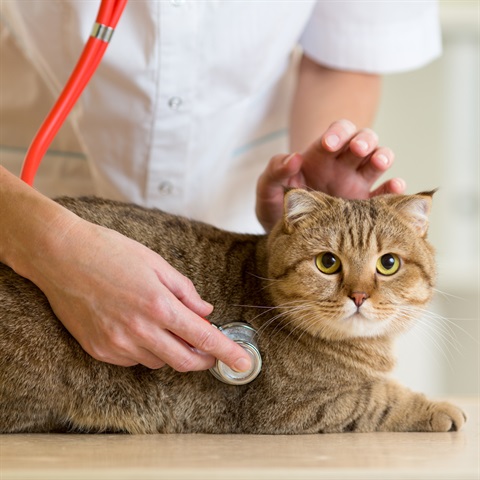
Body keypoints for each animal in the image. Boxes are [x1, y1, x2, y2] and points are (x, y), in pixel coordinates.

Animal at [0, 188, 464, 436]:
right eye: (328, 262)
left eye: (389, 264)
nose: (360, 295)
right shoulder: (296, 407)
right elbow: (382, 399)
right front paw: (441, 409)